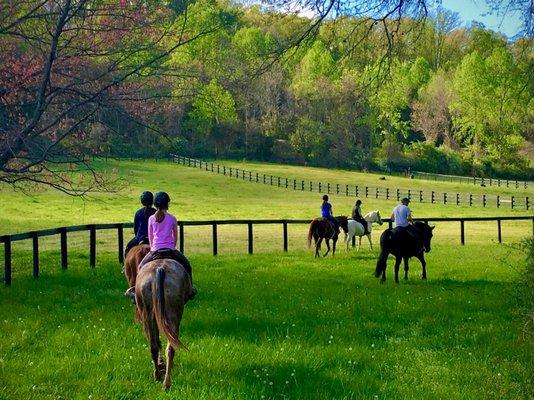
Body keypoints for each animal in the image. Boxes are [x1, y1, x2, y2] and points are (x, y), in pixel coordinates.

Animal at [135, 256, 194, 390]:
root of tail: (159, 269)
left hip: (149, 315)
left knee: (155, 346)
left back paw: (159, 377)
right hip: (171, 314)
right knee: (167, 347)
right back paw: (166, 381)